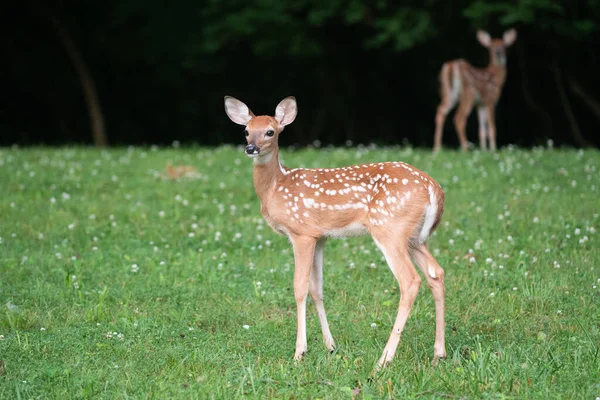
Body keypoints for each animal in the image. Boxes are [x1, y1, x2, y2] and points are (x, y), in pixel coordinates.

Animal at [225, 95, 446, 368]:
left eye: (270, 131)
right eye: (246, 131)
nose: (251, 148)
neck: (276, 187)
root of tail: (433, 188)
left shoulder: (301, 233)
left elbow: (299, 288)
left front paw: (299, 352)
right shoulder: (320, 237)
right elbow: (316, 290)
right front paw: (330, 346)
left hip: (389, 229)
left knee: (410, 280)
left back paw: (384, 360)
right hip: (414, 236)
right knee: (436, 273)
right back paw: (438, 353)